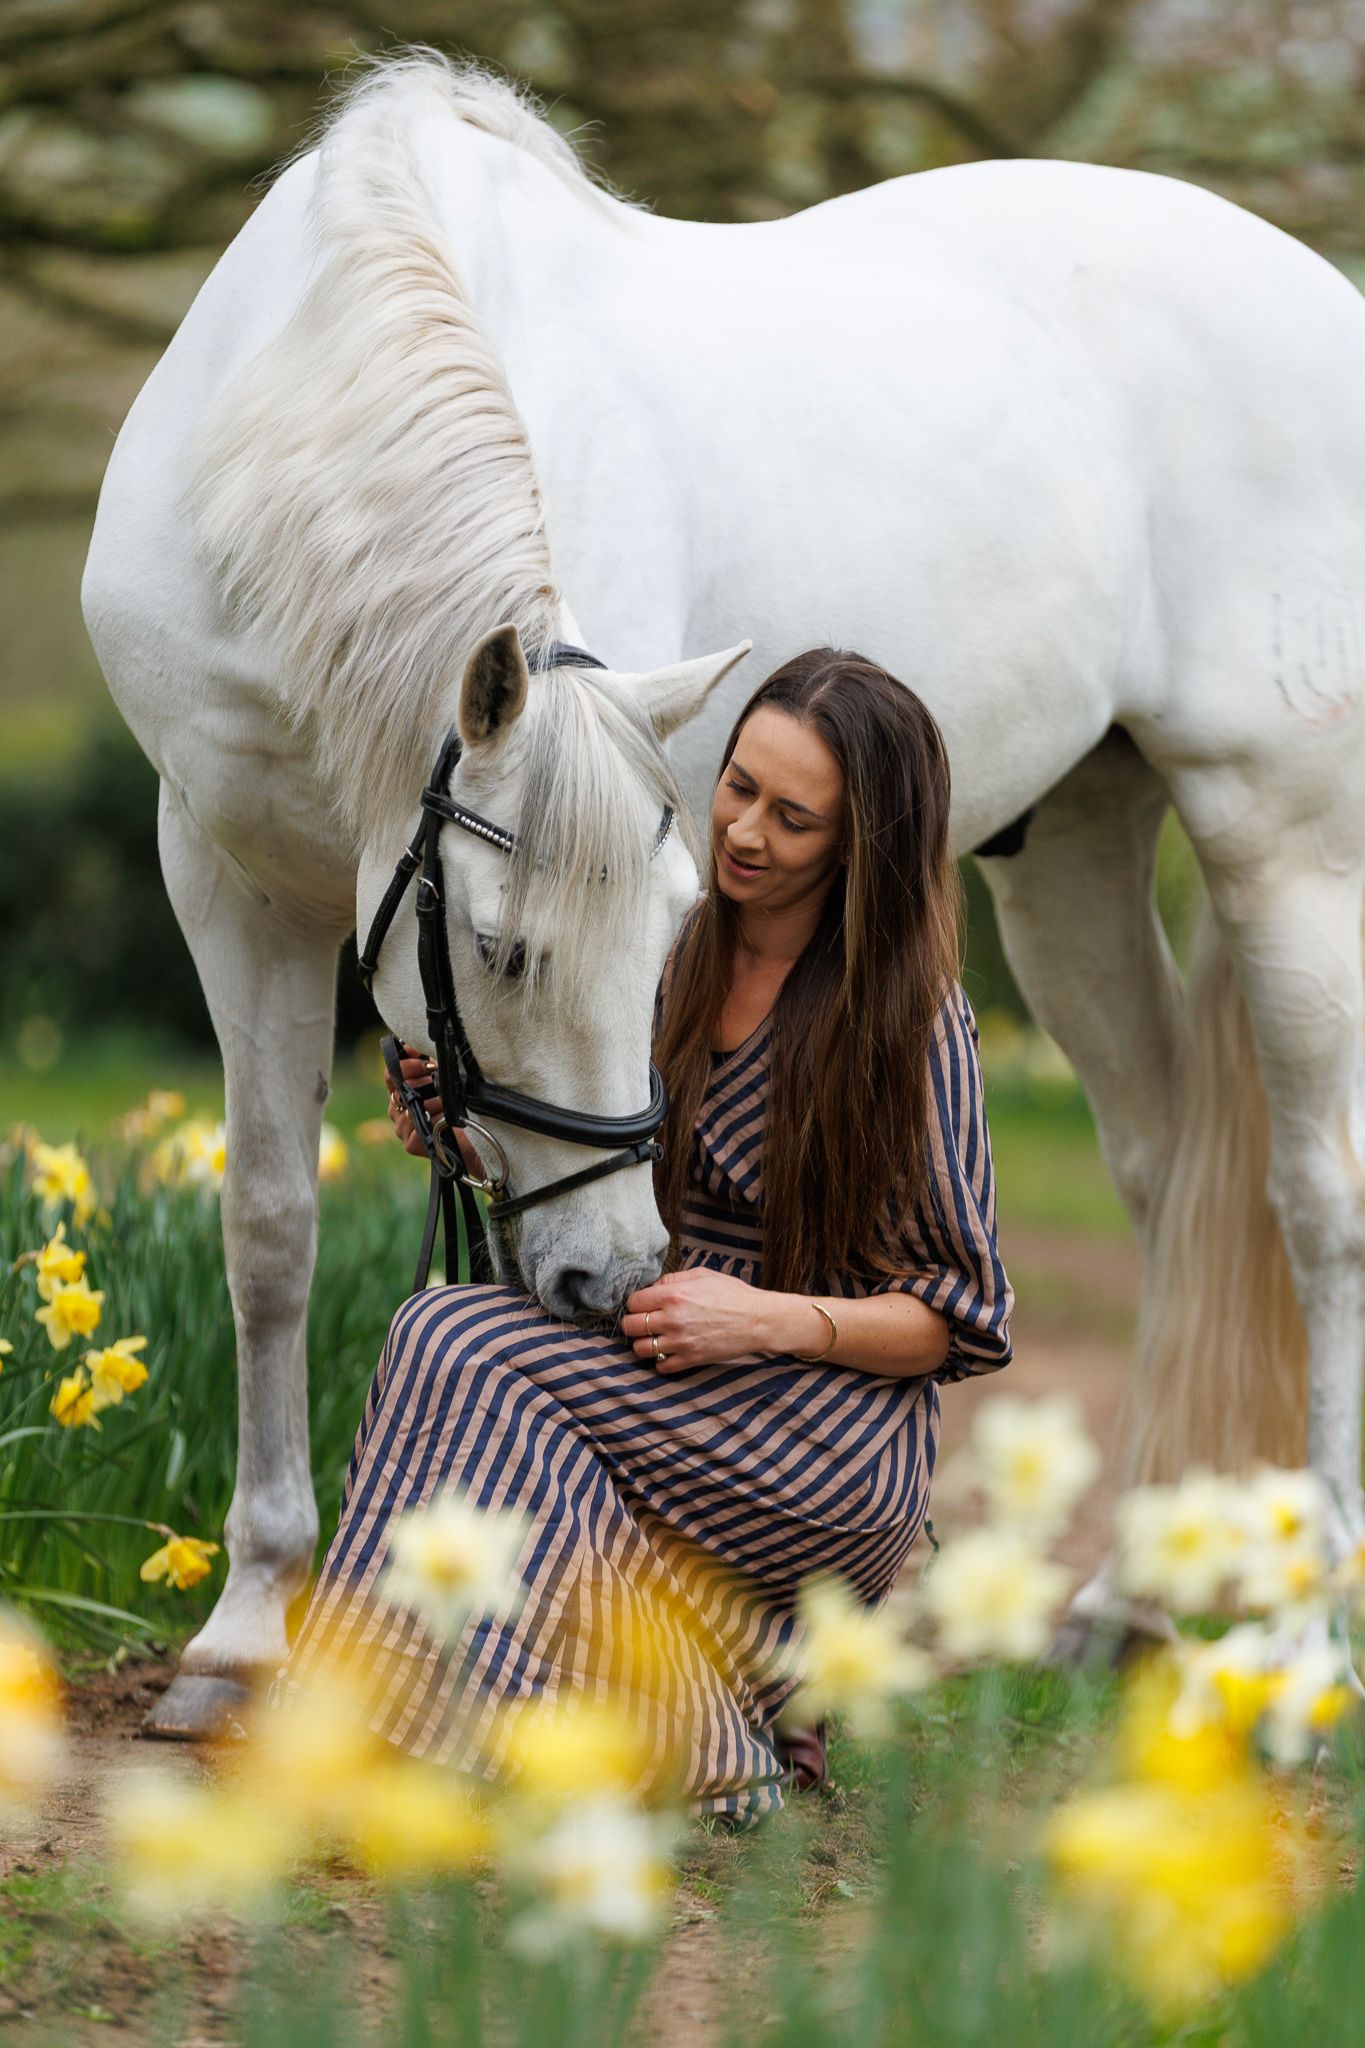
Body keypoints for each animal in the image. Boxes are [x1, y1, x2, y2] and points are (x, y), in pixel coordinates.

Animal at [83, 52, 1365, 1735]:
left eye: (670, 941)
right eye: (494, 951)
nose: (612, 1279)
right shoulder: (226, 872)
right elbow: (268, 1230)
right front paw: (244, 1631)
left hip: (1289, 838)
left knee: (1317, 1207)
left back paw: (1308, 1648)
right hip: (1080, 854)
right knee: (1165, 1171)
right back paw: (1123, 1604)